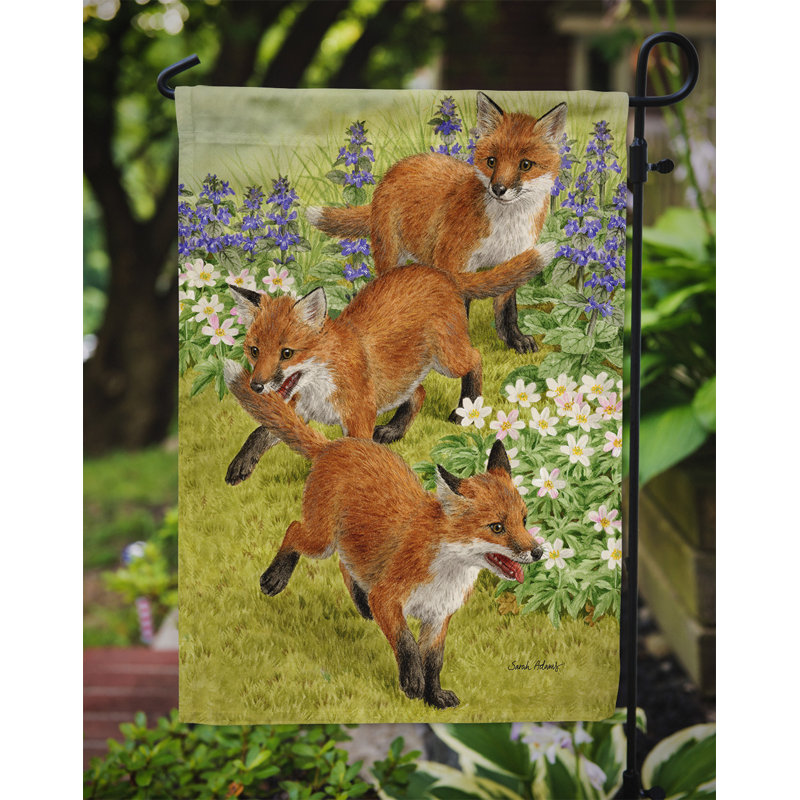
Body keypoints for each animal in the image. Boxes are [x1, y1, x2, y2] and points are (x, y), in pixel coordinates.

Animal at [223, 361, 544, 708]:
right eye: (497, 527)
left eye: (524, 520)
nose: (538, 551)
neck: (447, 570)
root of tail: (336, 445)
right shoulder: (389, 599)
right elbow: (406, 642)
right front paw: (412, 682)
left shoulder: (438, 617)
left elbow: (435, 661)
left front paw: (434, 695)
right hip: (321, 541)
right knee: (295, 530)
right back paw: (275, 578)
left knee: (345, 565)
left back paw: (360, 604)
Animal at [224, 242, 554, 485]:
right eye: (254, 351)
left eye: (287, 353)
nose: (256, 385)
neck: (319, 386)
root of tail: (438, 272)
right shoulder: (300, 410)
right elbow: (262, 432)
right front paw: (241, 465)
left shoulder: (359, 415)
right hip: (405, 375)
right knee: (419, 393)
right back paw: (394, 430)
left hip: (447, 359)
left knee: (475, 359)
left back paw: (466, 407)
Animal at [307, 92, 567, 354]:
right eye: (491, 162)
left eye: (525, 165)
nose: (498, 189)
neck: (506, 225)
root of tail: (396, 168)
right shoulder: (452, 261)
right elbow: (459, 309)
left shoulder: (512, 259)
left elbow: (507, 311)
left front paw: (515, 341)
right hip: (391, 254)